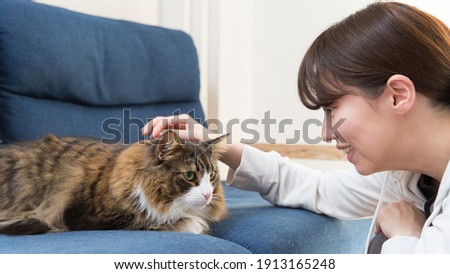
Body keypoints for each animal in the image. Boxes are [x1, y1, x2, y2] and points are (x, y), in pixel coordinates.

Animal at [0, 131, 227, 235]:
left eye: (212, 176)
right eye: (189, 176)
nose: (208, 195)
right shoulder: (90, 217)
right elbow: (155, 221)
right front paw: (194, 224)